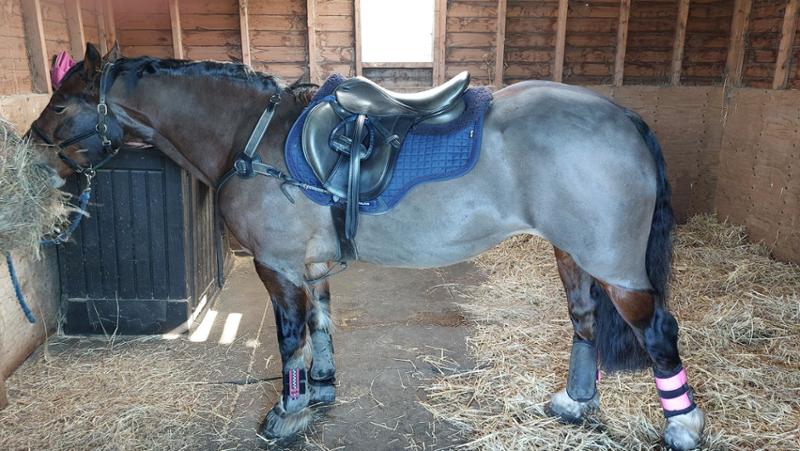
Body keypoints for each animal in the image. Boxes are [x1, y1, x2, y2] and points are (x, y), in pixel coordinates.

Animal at [28, 43, 705, 449]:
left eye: (60, 104)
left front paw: (288, 413)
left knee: (658, 333)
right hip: (575, 257)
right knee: (585, 320)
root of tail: (623, 116)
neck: (253, 137)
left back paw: (683, 428)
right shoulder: (309, 268)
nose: (32, 147)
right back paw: (574, 403)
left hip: (617, 268)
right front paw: (321, 394)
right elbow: (322, 327)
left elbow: (290, 341)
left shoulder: (277, 268)